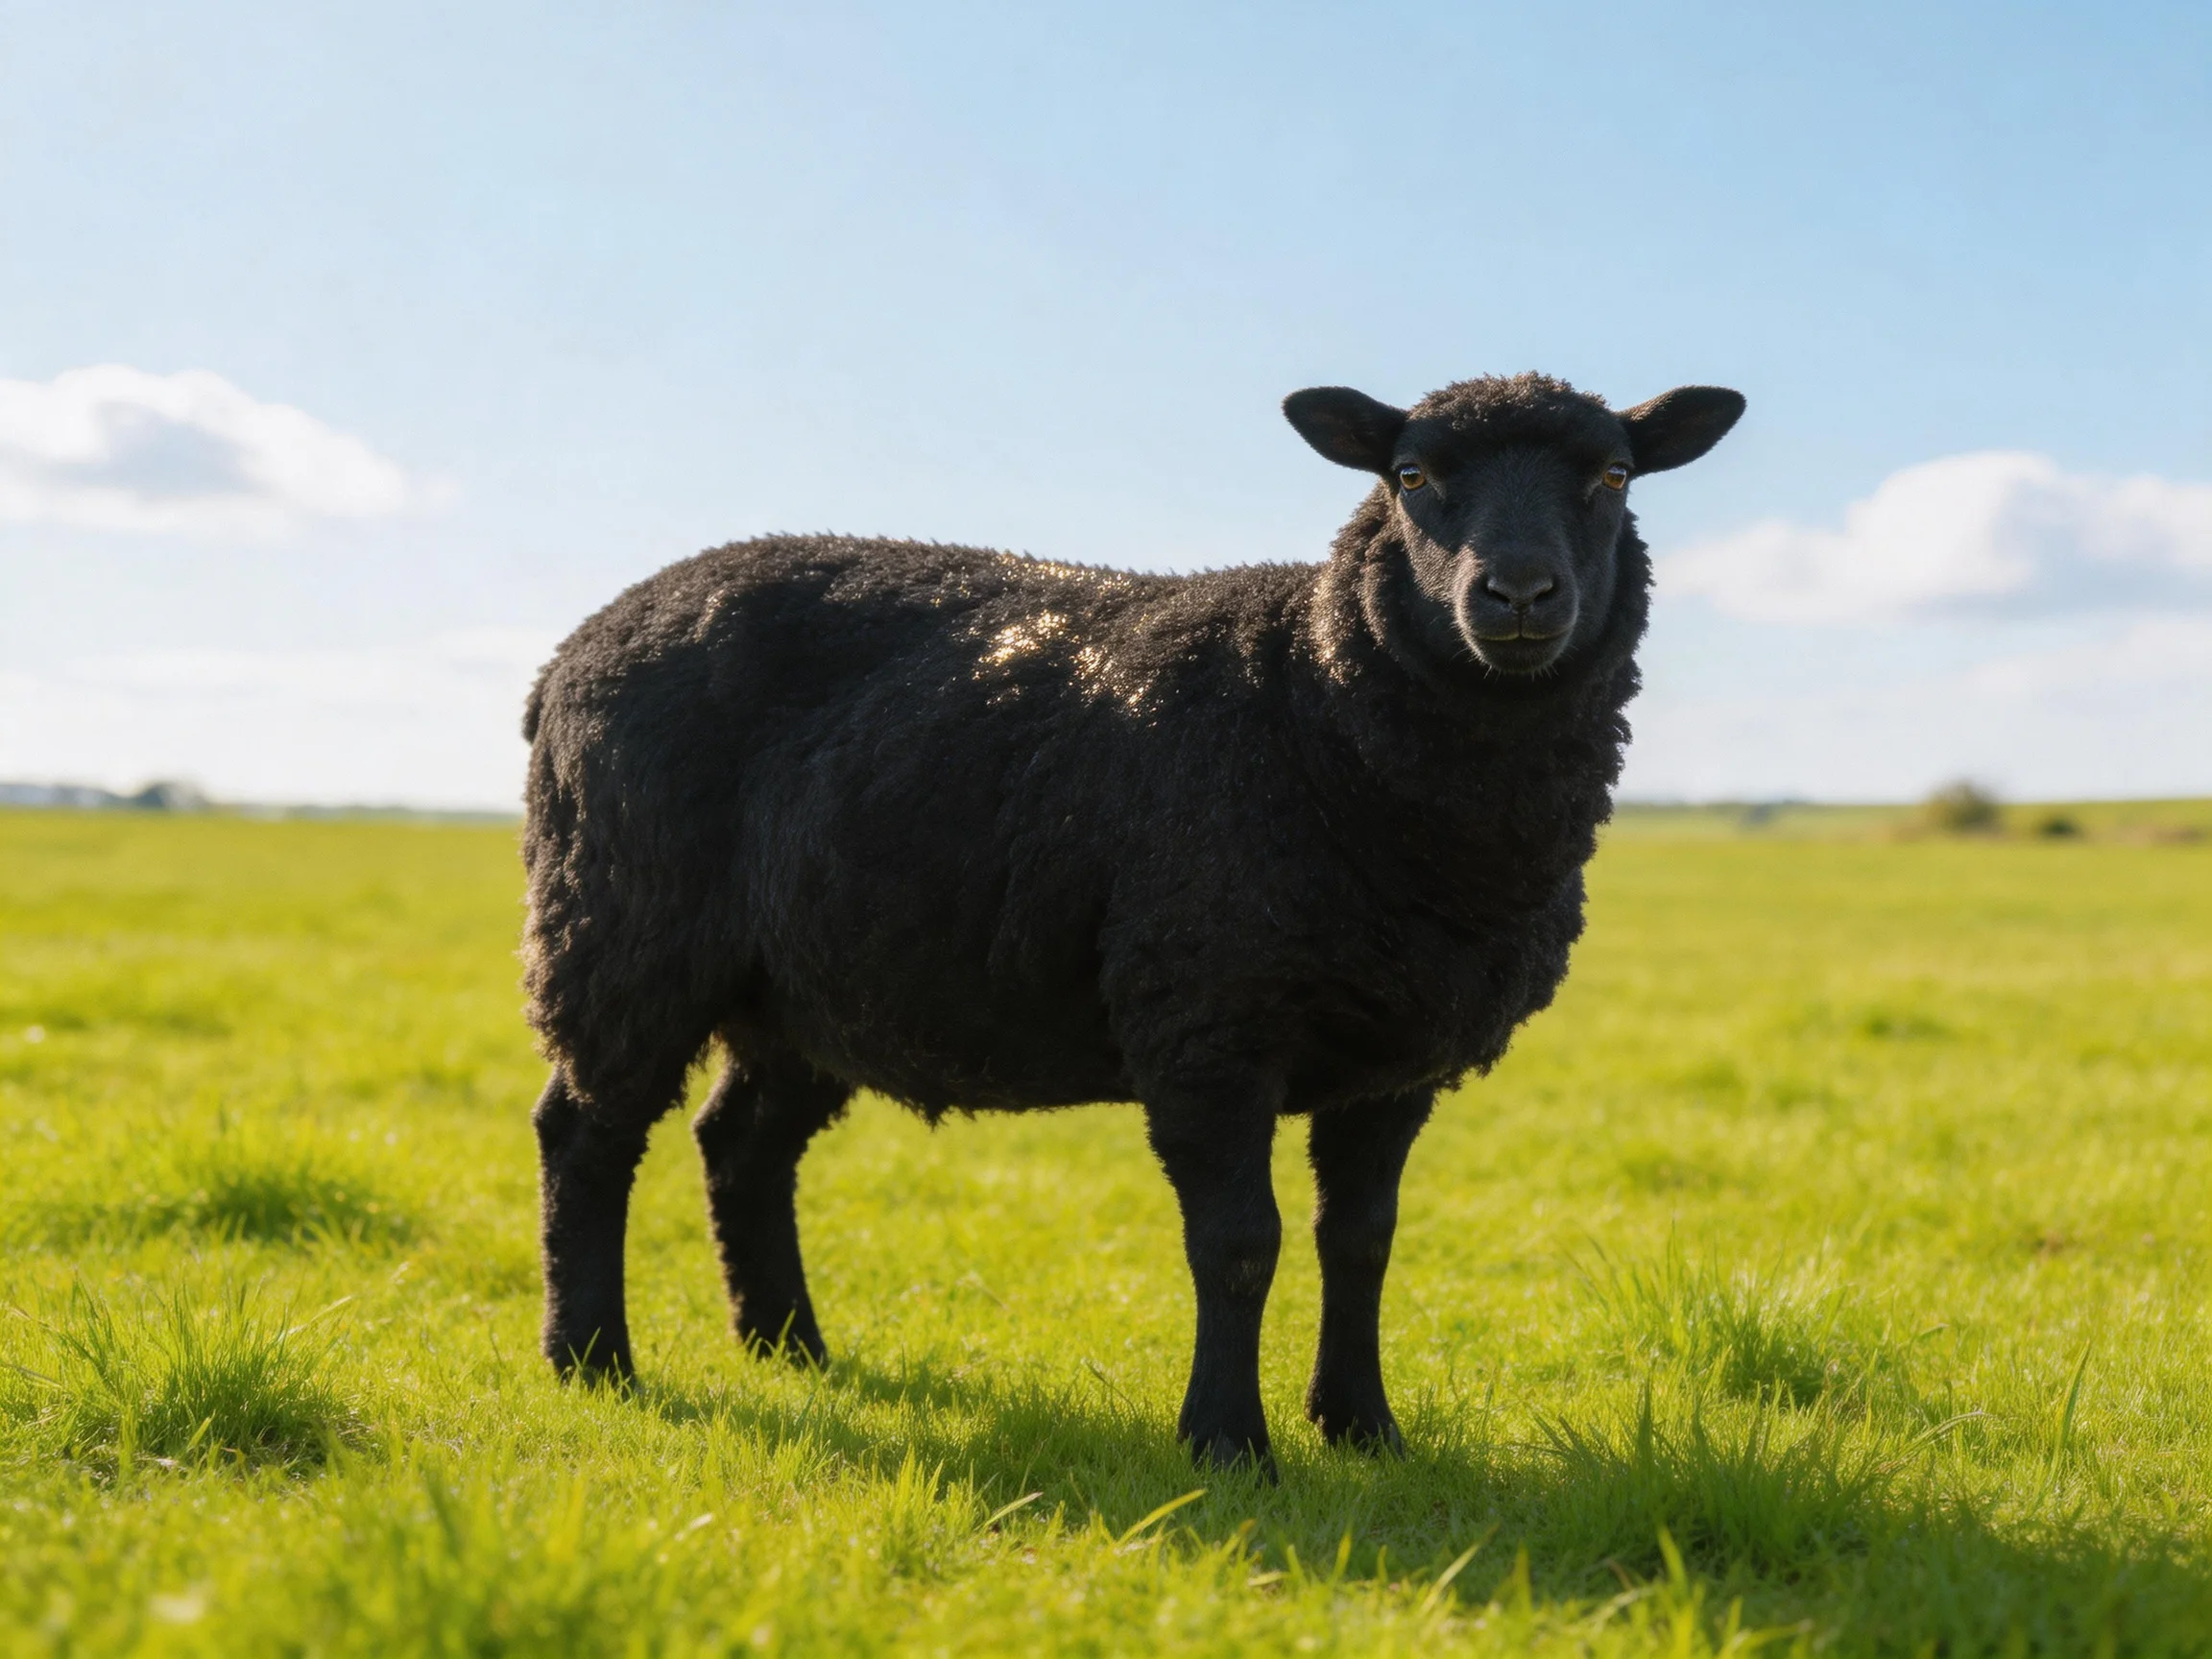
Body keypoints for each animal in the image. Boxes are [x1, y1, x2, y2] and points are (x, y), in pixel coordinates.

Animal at [520, 372, 1745, 1471]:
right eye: (1410, 476)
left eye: (1613, 475)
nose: (1520, 594)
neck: (1312, 701)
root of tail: (571, 650)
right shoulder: (1207, 1017)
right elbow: (1240, 1244)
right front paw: (1228, 1442)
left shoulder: (1399, 1054)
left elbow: (1363, 1242)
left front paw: (1362, 1427)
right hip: (621, 930)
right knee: (585, 1133)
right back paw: (593, 1360)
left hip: (811, 982)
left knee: (741, 1141)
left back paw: (790, 1348)